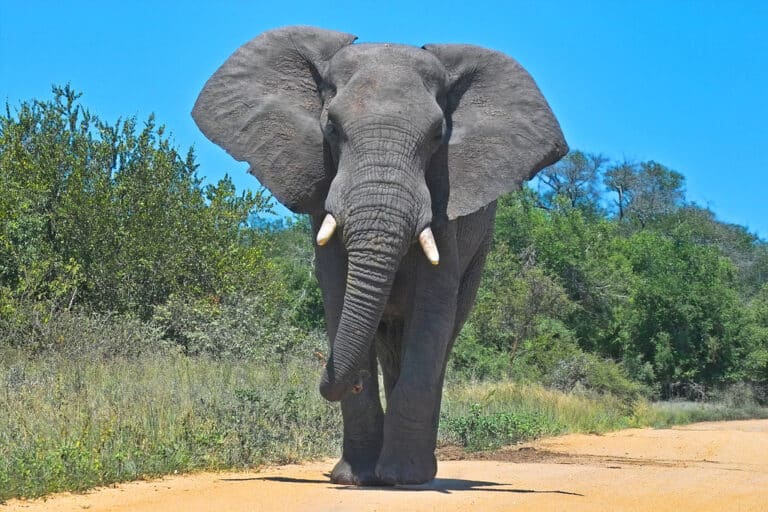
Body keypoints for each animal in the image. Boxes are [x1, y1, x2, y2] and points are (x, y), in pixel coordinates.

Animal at [192, 26, 567, 485]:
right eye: (331, 128)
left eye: (438, 135)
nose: (345, 379)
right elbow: (337, 295)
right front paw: (354, 479)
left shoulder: (446, 199)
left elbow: (433, 311)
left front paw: (402, 478)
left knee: (440, 340)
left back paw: (417, 471)